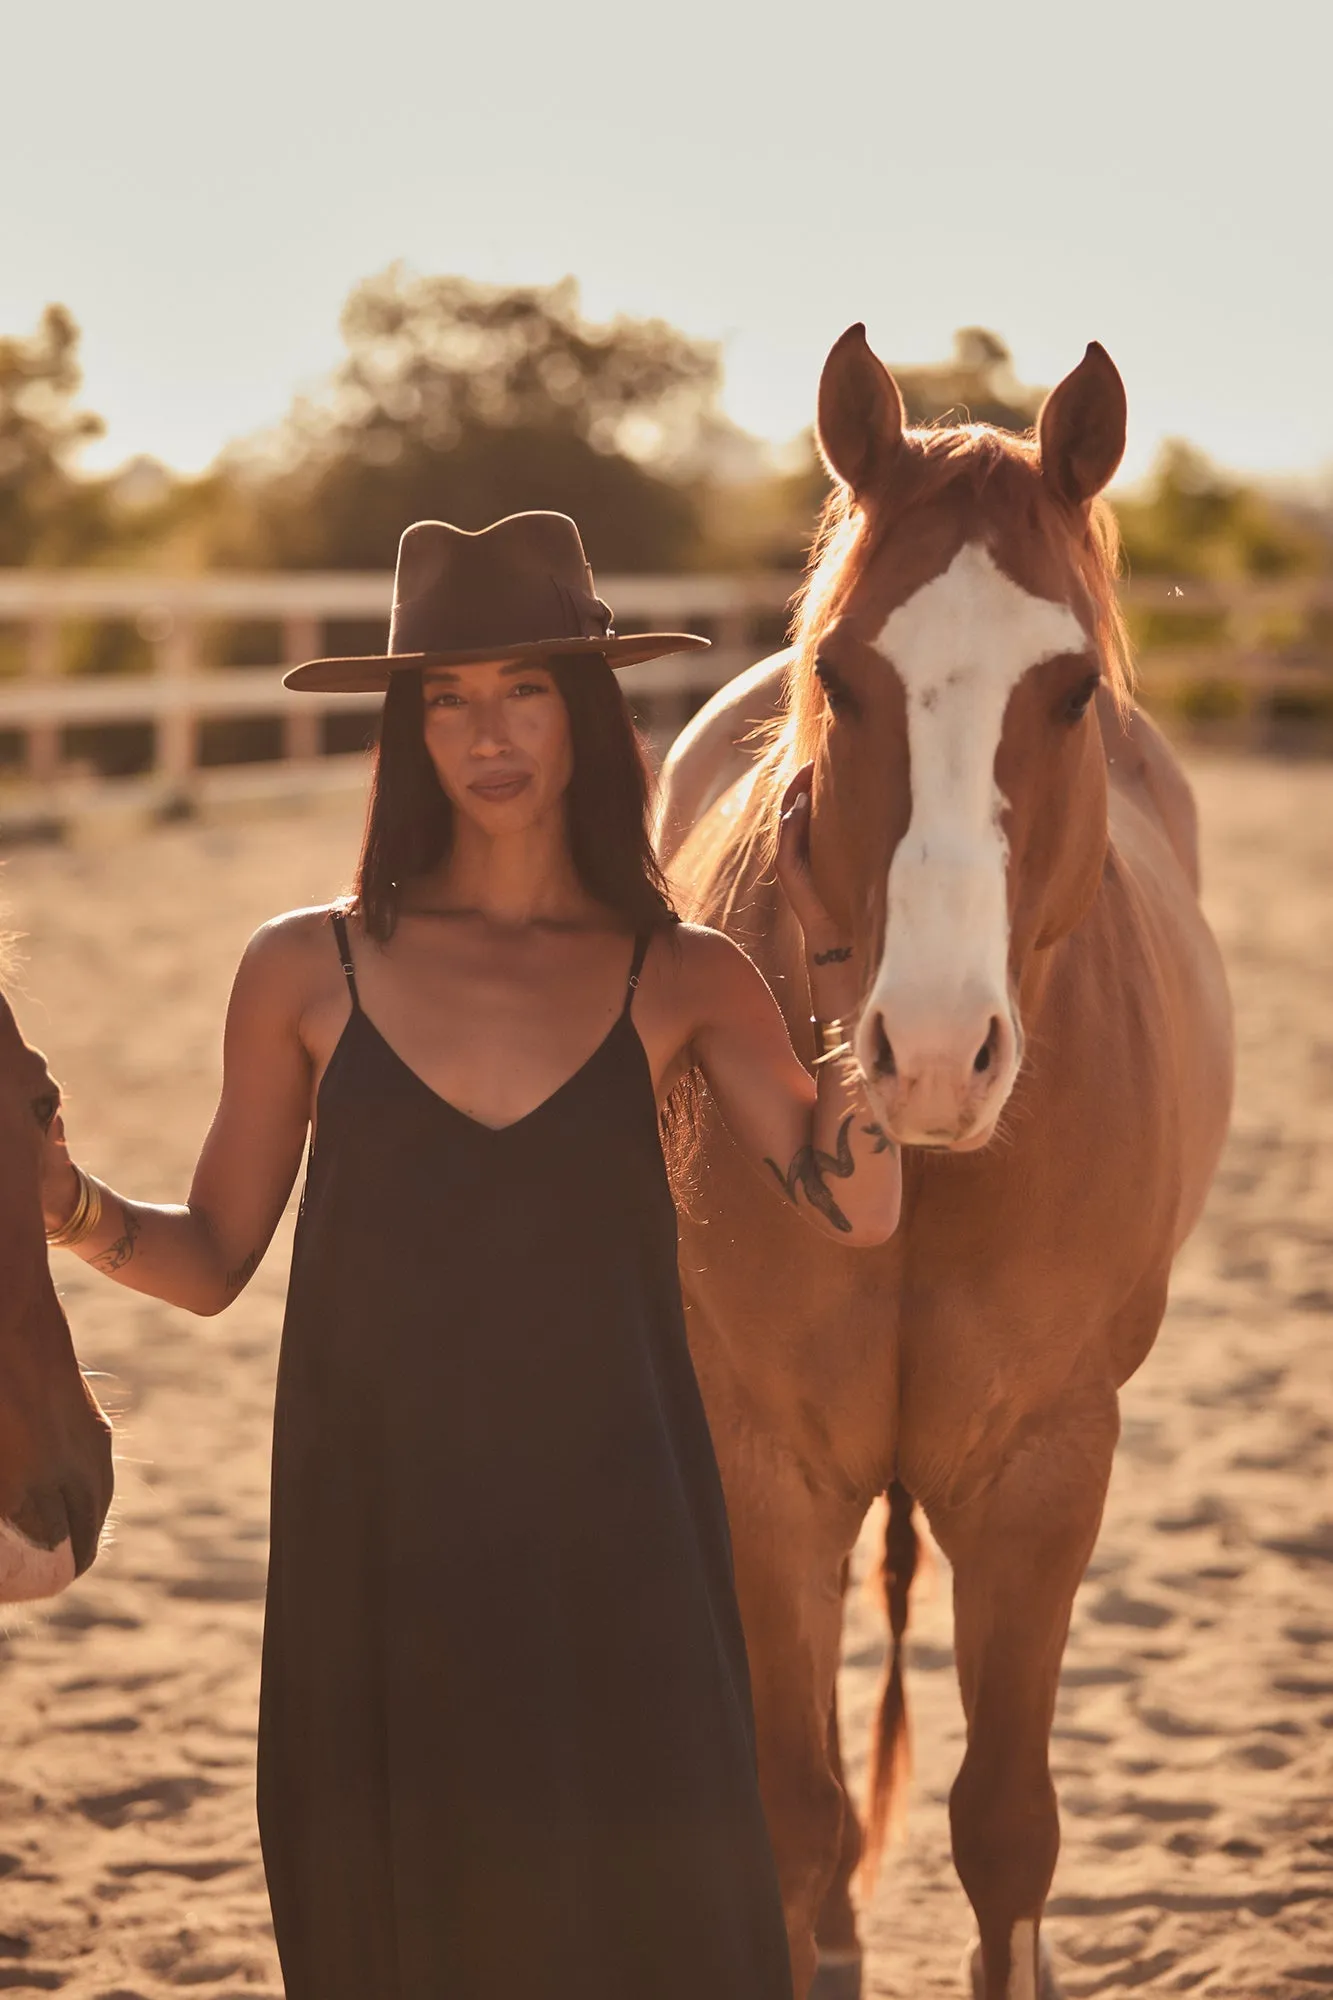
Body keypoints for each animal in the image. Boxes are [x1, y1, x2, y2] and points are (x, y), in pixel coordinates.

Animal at [660, 328, 1232, 2000]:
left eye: (1071, 688)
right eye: (839, 676)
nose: (927, 1052)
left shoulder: (1044, 1465)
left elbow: (1004, 1831)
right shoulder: (767, 1471)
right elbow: (797, 1821)